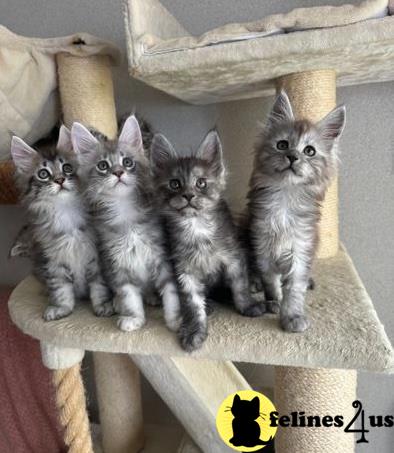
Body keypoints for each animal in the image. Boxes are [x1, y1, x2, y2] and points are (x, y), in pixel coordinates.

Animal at [11, 125, 112, 320]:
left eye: (67, 168)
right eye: (43, 174)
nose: (59, 180)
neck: (65, 211)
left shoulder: (96, 256)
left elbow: (99, 285)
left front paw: (104, 305)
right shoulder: (52, 260)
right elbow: (60, 288)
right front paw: (61, 308)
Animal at [71, 115, 181, 330]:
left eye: (127, 162)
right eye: (103, 165)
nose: (119, 172)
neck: (125, 213)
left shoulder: (162, 258)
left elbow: (171, 292)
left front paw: (176, 320)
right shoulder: (117, 263)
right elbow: (129, 295)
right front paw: (134, 319)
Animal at [151, 129, 264, 352]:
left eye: (201, 183)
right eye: (174, 184)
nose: (188, 195)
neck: (196, 228)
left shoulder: (233, 258)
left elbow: (240, 287)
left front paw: (247, 306)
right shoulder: (185, 272)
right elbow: (193, 304)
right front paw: (194, 330)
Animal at [246, 92, 344, 332]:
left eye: (309, 151)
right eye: (282, 145)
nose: (292, 156)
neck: (285, 198)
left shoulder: (302, 245)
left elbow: (295, 287)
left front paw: (292, 315)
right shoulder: (262, 243)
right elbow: (271, 280)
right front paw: (275, 301)